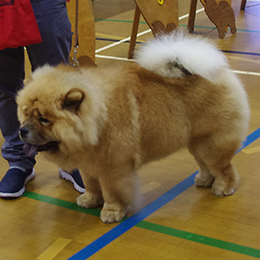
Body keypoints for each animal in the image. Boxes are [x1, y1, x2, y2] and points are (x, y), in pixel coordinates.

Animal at [16, 31, 250, 223]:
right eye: (25, 113)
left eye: (44, 119)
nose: (22, 130)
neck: (98, 119)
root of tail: (218, 72)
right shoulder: (88, 165)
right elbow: (91, 185)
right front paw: (89, 200)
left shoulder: (113, 168)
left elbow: (112, 192)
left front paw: (111, 213)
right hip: (196, 142)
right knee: (205, 164)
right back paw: (204, 180)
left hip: (212, 143)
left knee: (224, 168)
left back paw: (222, 187)